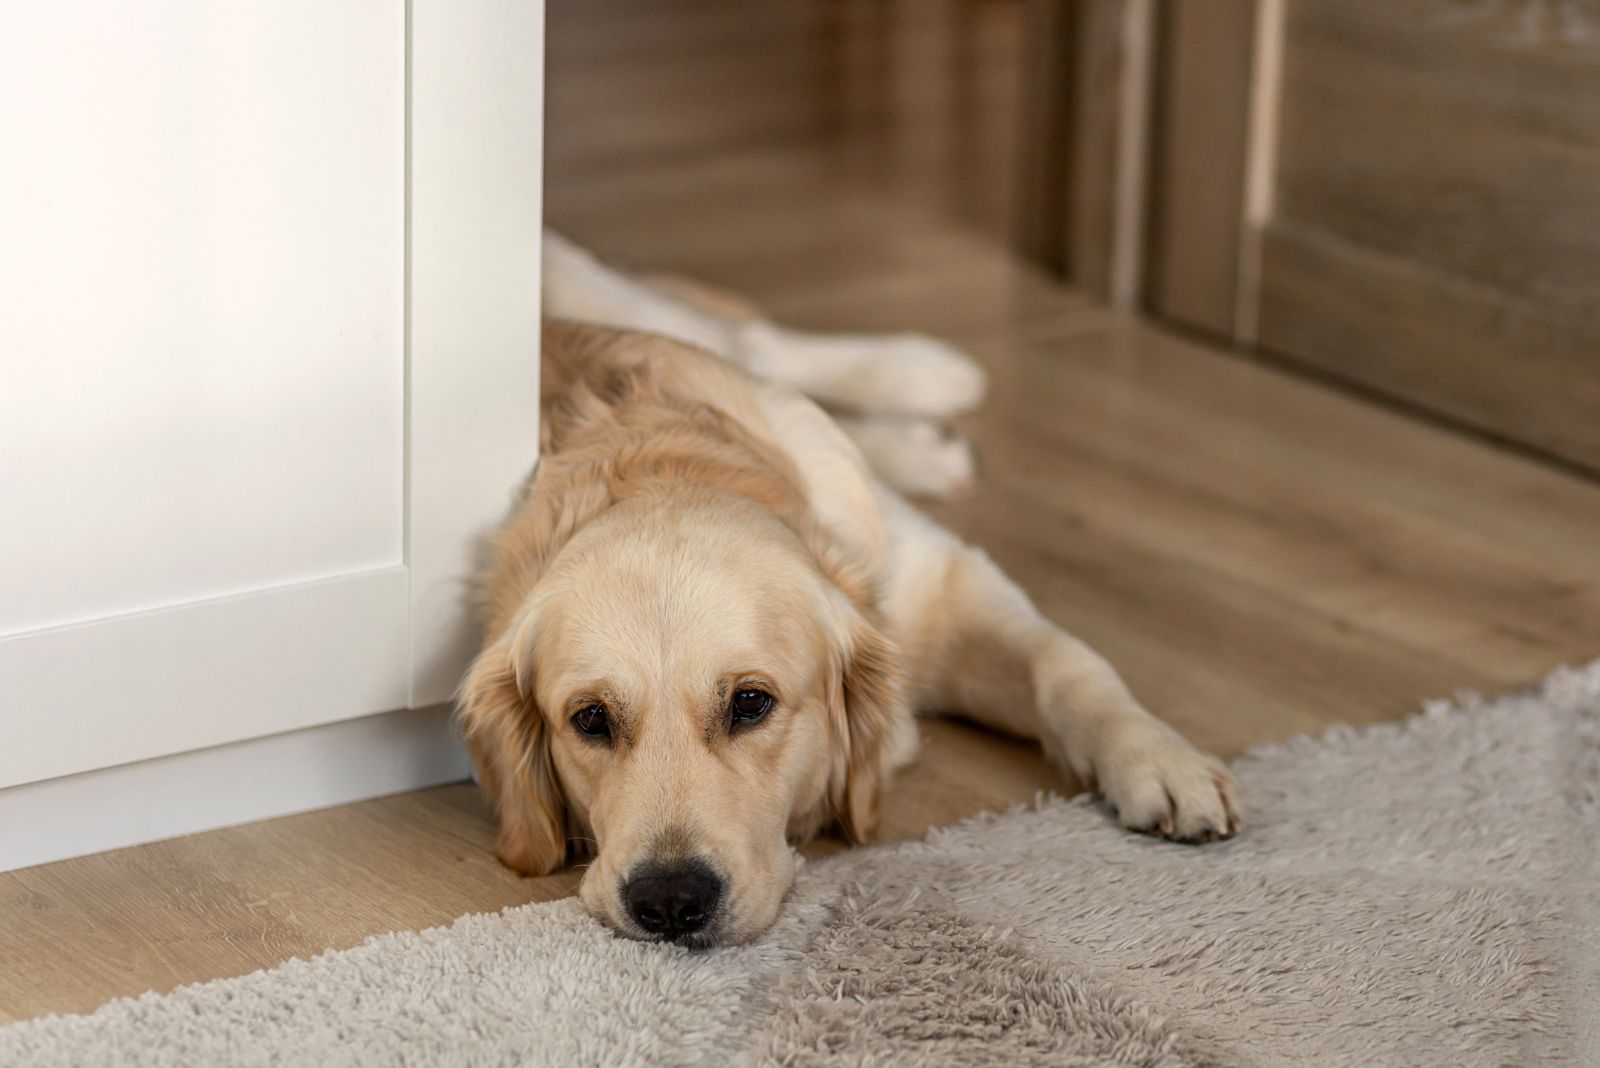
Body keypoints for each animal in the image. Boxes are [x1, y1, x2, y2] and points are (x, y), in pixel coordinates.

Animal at [457, 231, 1241, 940]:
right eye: (590, 719)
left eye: (751, 704)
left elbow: (1067, 664)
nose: (671, 901)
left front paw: (1160, 760)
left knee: (757, 338)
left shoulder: (945, 588)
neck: (665, 462)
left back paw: (927, 376)